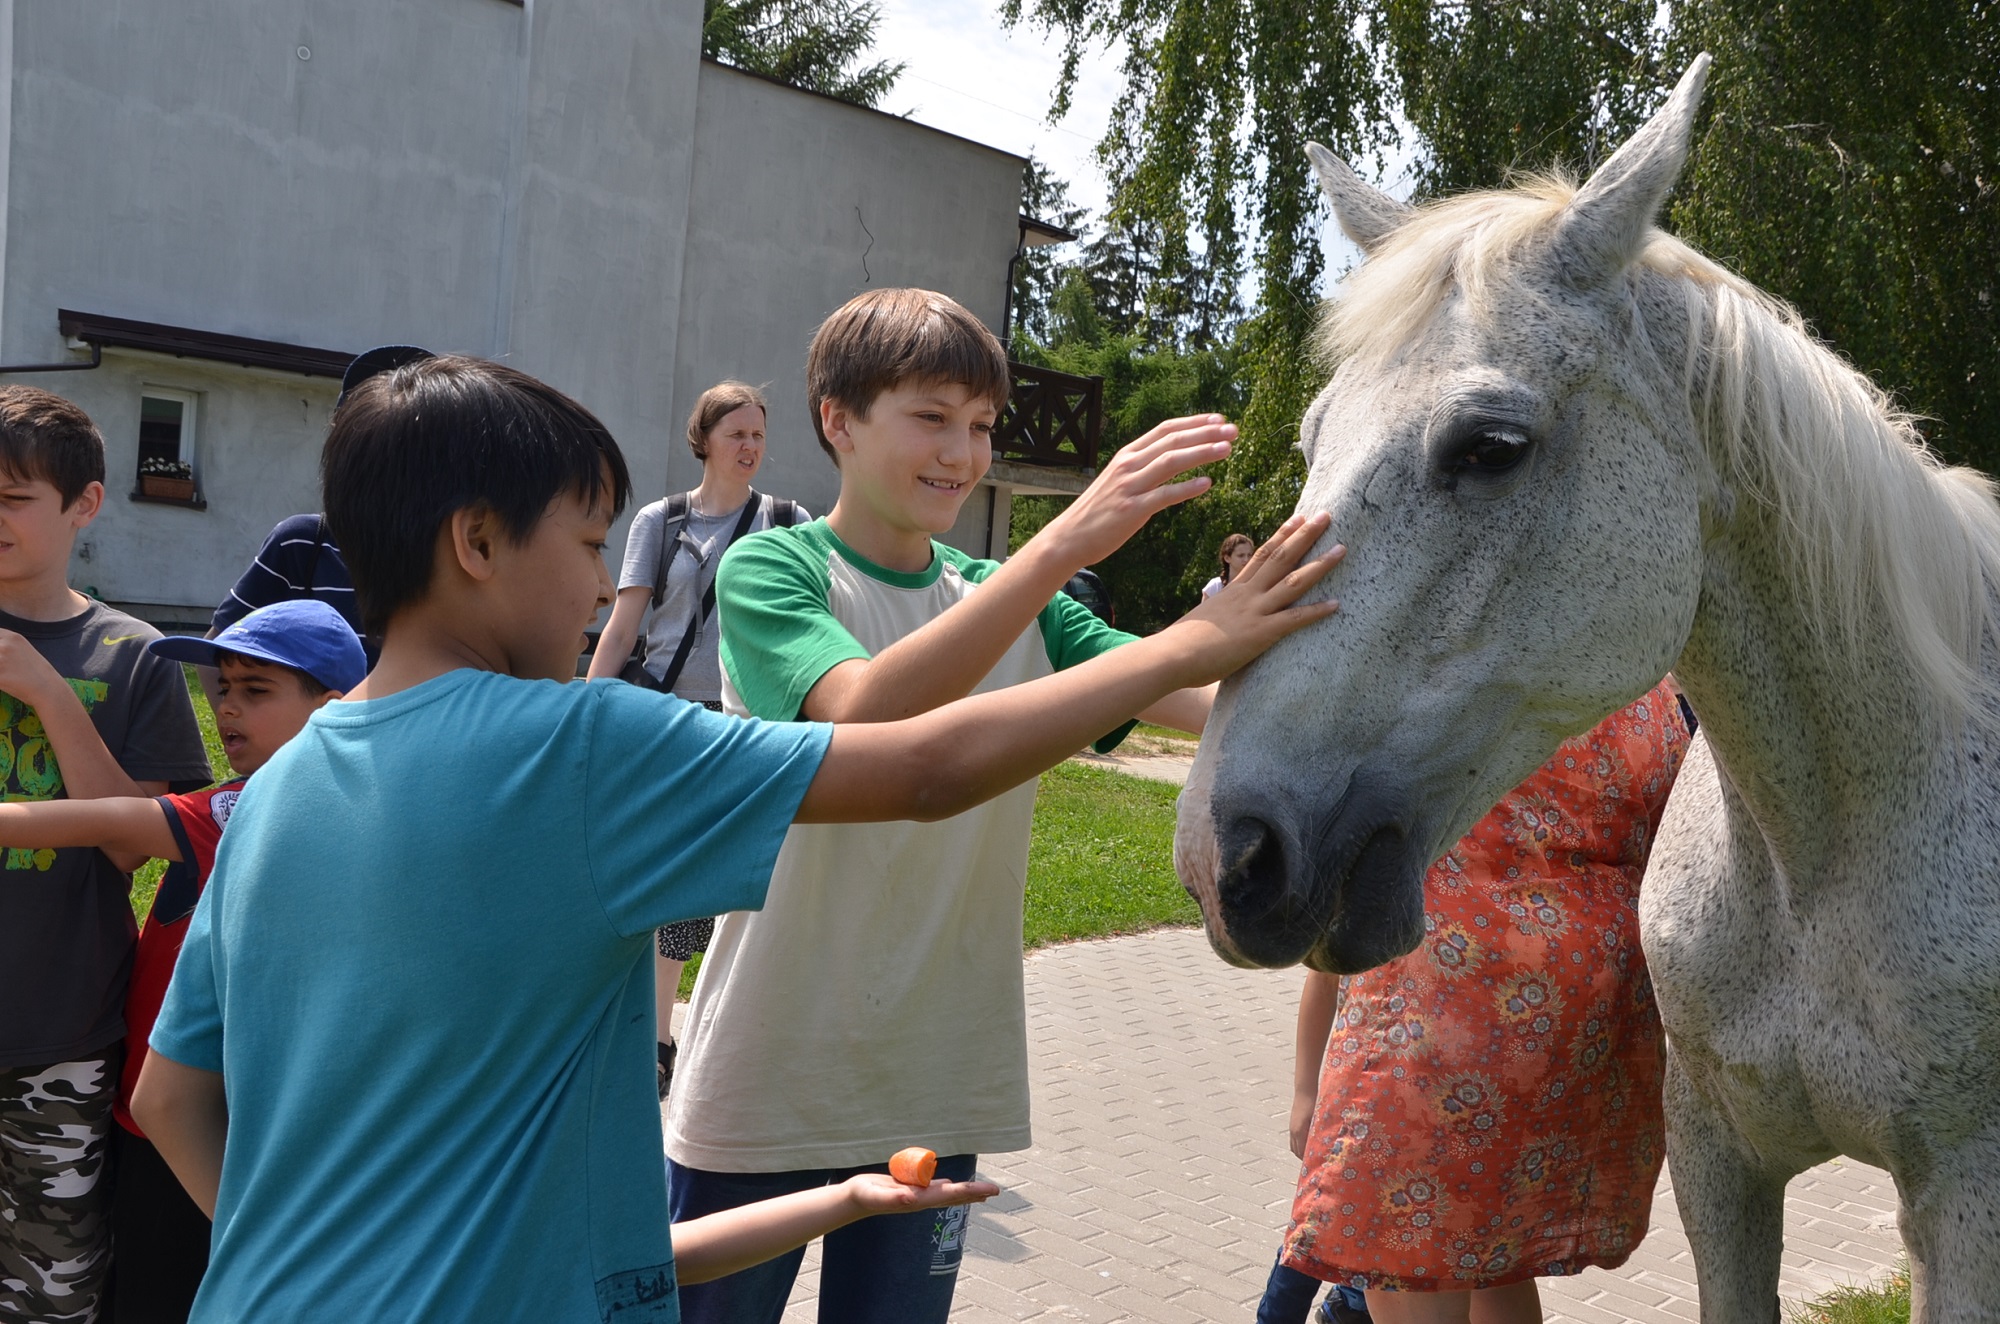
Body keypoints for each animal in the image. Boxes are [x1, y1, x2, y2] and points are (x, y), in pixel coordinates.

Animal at [1174, 56, 2000, 1320]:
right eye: (1312, 437)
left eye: (1488, 446)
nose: (1230, 854)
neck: (1821, 854)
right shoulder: (1716, 1159)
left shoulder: (1964, 1191)